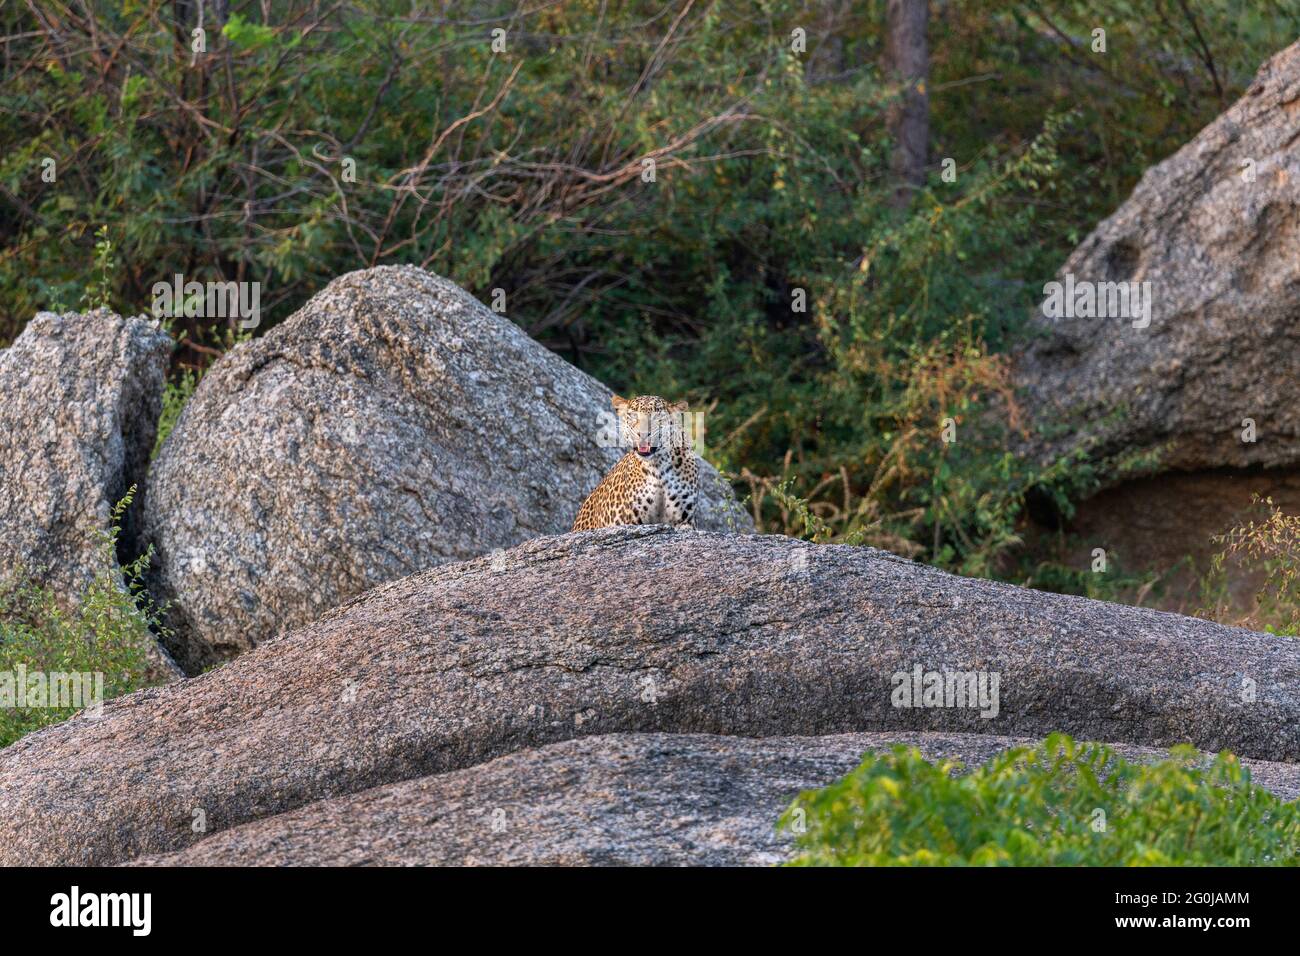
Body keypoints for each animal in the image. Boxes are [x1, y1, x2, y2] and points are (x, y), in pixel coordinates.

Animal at [574, 395, 702, 530]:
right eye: (633, 415)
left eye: (656, 416)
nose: (643, 434)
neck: (658, 467)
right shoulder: (631, 521)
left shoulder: (685, 521)